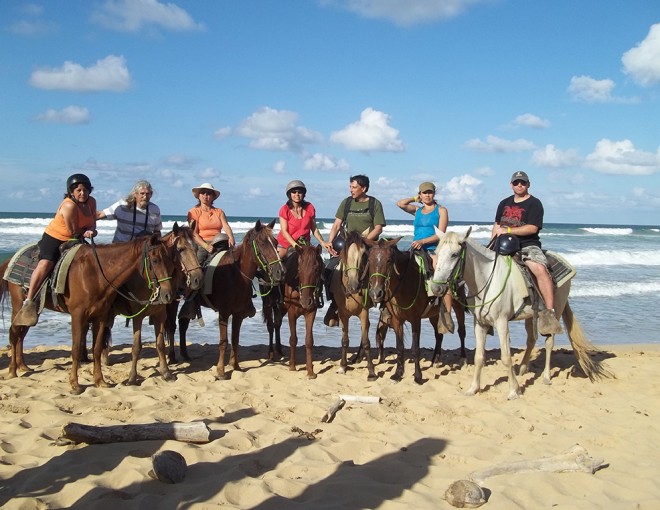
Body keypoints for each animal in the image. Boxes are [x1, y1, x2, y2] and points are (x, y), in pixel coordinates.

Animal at [0, 235, 177, 394]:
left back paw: (23, 366)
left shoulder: (101, 316)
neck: (96, 274)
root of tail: (11, 259)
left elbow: (97, 348)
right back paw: (12, 370)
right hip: (18, 305)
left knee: (20, 334)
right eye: (155, 260)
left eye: (170, 260)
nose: (168, 295)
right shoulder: (79, 316)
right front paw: (75, 385)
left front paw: (100, 381)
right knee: (14, 334)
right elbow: (76, 349)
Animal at [105, 223, 202, 386]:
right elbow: (136, 346)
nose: (198, 279)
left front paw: (167, 369)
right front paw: (132, 378)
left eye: (196, 248)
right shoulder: (137, 316)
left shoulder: (162, 312)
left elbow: (162, 340)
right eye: (180, 249)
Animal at [170, 219, 284, 378]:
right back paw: (171, 357)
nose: (280, 272)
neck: (236, 274)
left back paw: (185, 354)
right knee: (170, 325)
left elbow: (235, 339)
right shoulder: (224, 313)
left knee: (183, 322)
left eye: (275, 242)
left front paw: (235, 366)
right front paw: (221, 371)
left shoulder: (238, 314)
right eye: (262, 243)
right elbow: (224, 341)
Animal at [262, 243, 326, 378]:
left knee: (277, 324)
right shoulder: (292, 312)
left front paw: (310, 371)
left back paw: (279, 350)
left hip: (280, 308)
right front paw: (292, 366)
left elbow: (309, 340)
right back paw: (271, 353)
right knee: (270, 326)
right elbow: (293, 339)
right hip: (268, 304)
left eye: (316, 269)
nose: (306, 301)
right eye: (299, 270)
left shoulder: (311, 312)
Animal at [430, 226, 612, 398]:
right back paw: (523, 369)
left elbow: (506, 357)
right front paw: (473, 388)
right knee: (531, 340)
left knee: (549, 342)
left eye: (454, 254)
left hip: (556, 311)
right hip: (530, 316)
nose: (436, 288)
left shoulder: (502, 322)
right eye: (437, 253)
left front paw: (513, 391)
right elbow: (479, 357)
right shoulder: (480, 323)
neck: (488, 280)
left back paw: (546, 376)